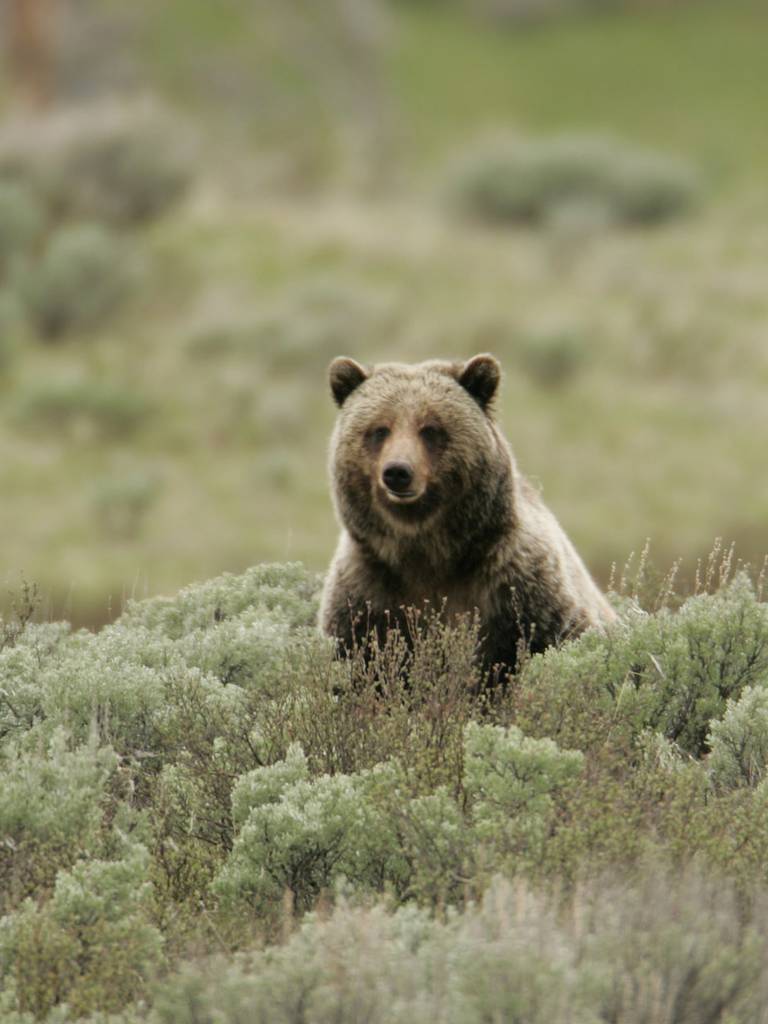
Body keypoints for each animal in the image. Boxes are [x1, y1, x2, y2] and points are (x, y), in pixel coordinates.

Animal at [319, 353, 616, 675]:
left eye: (430, 429)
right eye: (379, 429)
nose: (397, 472)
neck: (427, 551)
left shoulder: (521, 588)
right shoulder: (366, 594)